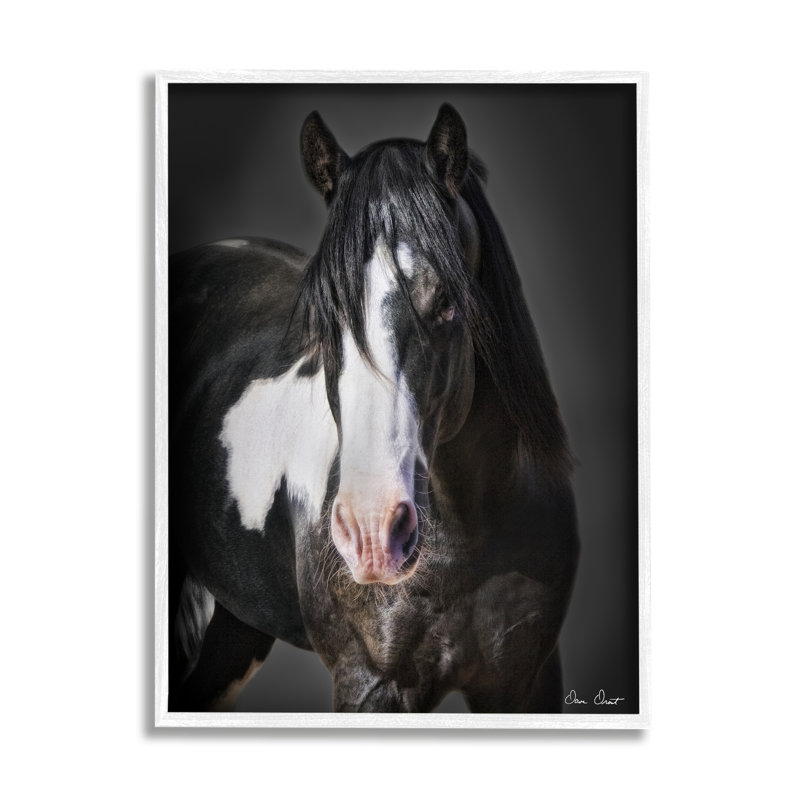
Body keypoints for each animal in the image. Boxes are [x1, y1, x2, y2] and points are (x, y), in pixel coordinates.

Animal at [168, 103, 579, 713]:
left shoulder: (525, 682)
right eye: (323, 311)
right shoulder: (372, 685)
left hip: (237, 625)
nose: (371, 532)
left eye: (448, 303)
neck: (469, 534)